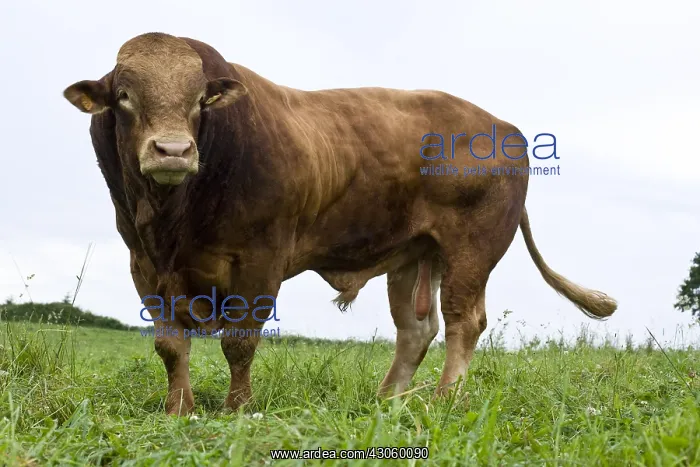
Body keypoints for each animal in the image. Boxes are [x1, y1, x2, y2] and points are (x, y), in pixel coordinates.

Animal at [63, 32, 617, 416]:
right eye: (125, 96)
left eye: (200, 100)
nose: (173, 151)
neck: (173, 218)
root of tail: (505, 128)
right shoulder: (143, 263)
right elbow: (169, 344)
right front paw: (180, 409)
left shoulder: (261, 260)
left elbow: (239, 340)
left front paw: (238, 408)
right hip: (415, 254)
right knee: (416, 329)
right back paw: (387, 401)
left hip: (472, 250)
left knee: (464, 321)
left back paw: (445, 399)